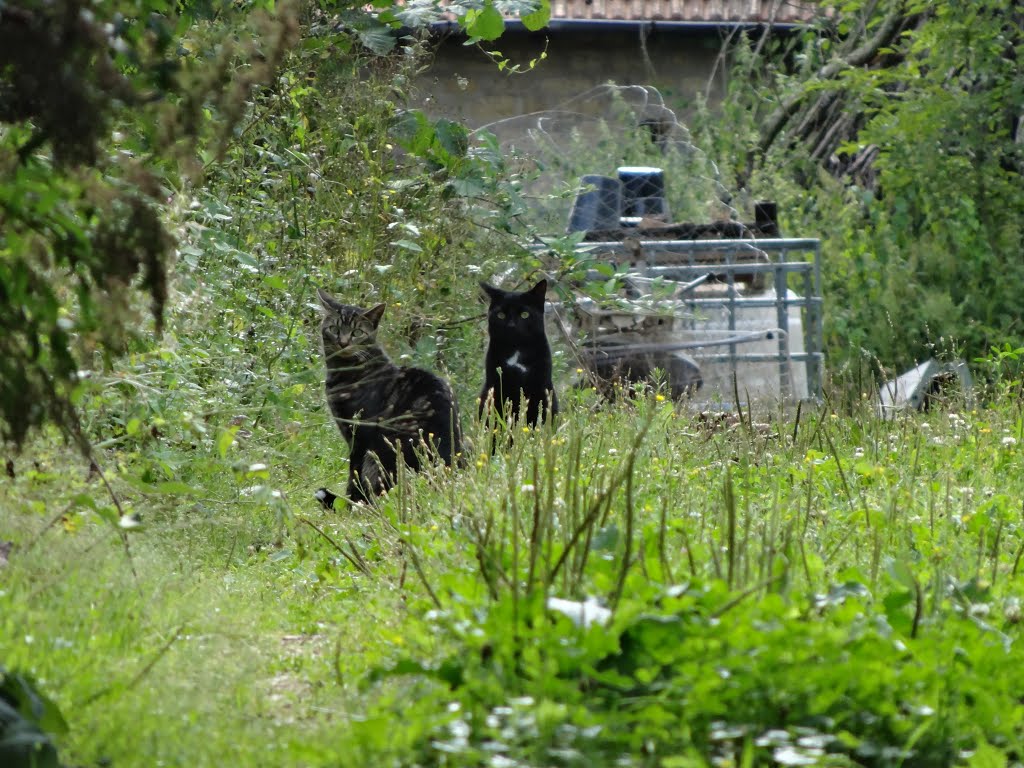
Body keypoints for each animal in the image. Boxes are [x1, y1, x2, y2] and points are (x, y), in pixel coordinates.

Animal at [315, 288, 464, 505]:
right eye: (334, 329)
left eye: (357, 333)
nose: (343, 342)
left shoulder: (359, 435)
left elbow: (354, 474)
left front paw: (350, 502)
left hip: (380, 451)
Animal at [481, 280, 561, 430]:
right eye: (501, 315)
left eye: (524, 314)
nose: (511, 325)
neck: (516, 350)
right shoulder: (496, 385)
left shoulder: (539, 385)